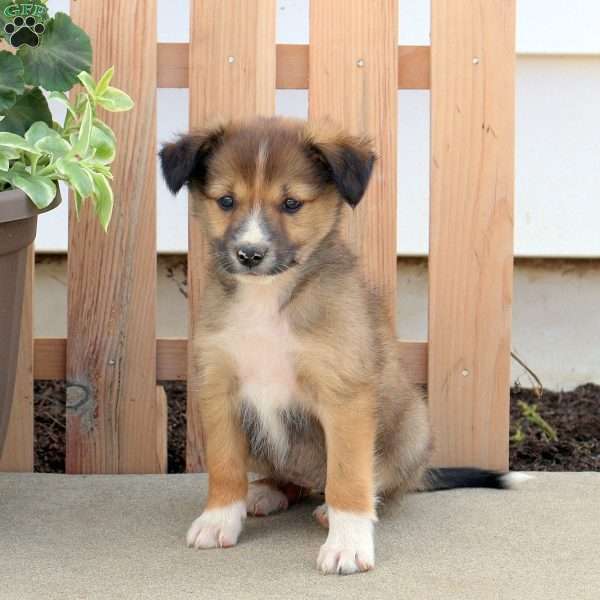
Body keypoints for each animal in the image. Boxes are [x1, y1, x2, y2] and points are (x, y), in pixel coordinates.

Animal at [159, 116, 524, 572]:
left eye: (292, 204)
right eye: (226, 201)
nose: (250, 253)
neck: (268, 298)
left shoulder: (343, 395)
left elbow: (349, 478)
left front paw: (347, 543)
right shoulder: (220, 389)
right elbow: (225, 466)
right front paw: (219, 519)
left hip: (413, 425)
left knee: (376, 482)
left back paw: (337, 507)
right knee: (290, 478)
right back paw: (265, 491)